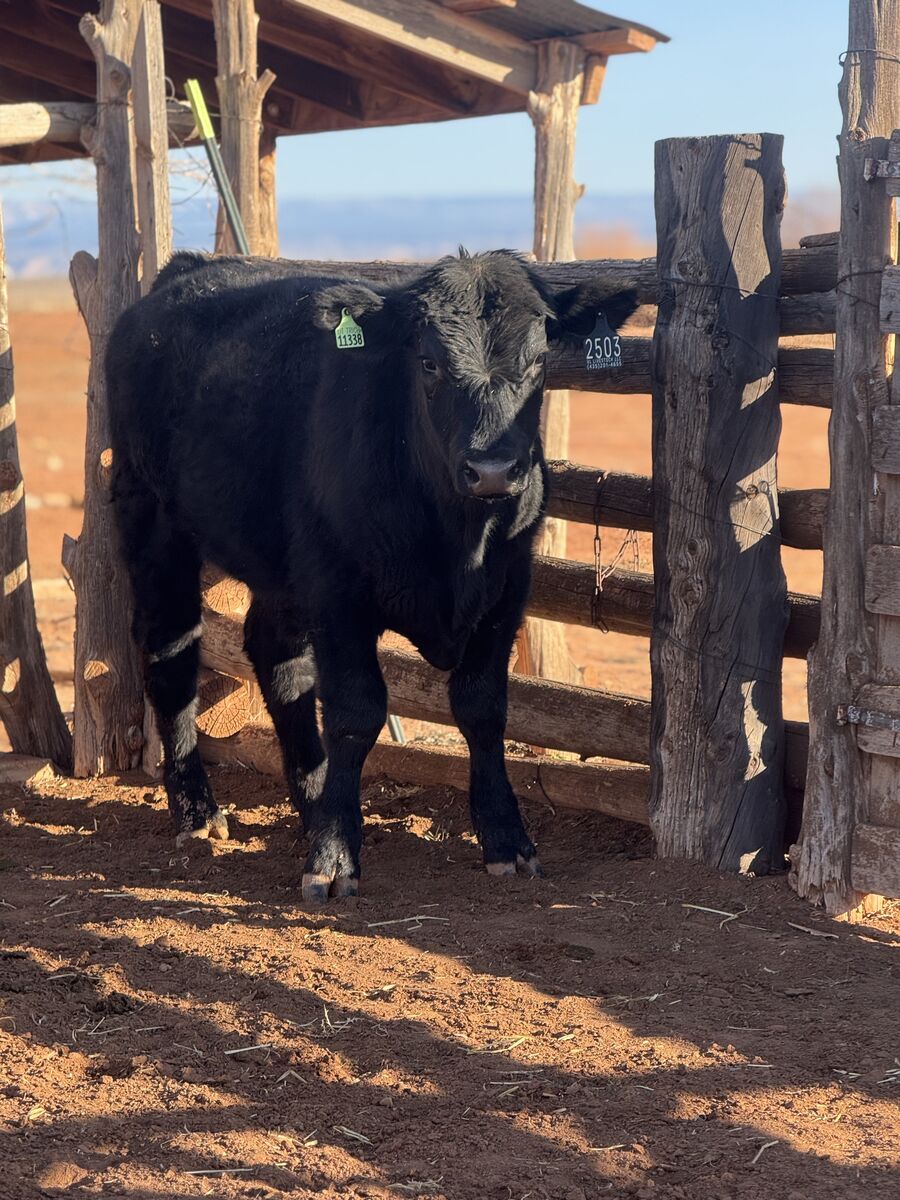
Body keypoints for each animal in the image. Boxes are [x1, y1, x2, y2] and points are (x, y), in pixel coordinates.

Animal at [106, 250, 637, 900]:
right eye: (429, 362)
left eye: (539, 361)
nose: (491, 469)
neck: (456, 540)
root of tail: (184, 271)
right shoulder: (338, 596)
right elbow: (356, 712)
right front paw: (334, 857)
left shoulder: (508, 588)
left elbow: (483, 708)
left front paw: (507, 840)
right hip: (152, 520)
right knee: (171, 652)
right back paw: (198, 812)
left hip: (280, 564)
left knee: (275, 659)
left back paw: (313, 801)